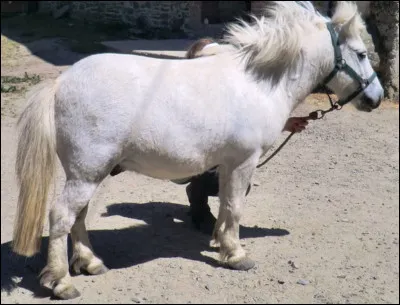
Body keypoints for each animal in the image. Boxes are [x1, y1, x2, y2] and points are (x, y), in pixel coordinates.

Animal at [11, 1, 382, 298]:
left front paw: (221, 242)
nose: (376, 98)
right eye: (362, 54)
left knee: (78, 216)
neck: (259, 83)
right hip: (87, 173)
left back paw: (90, 262)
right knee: (62, 216)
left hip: (88, 173)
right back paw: (61, 282)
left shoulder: (228, 165)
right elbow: (235, 206)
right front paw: (236, 255)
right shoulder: (244, 161)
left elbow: (227, 204)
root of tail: (61, 82)